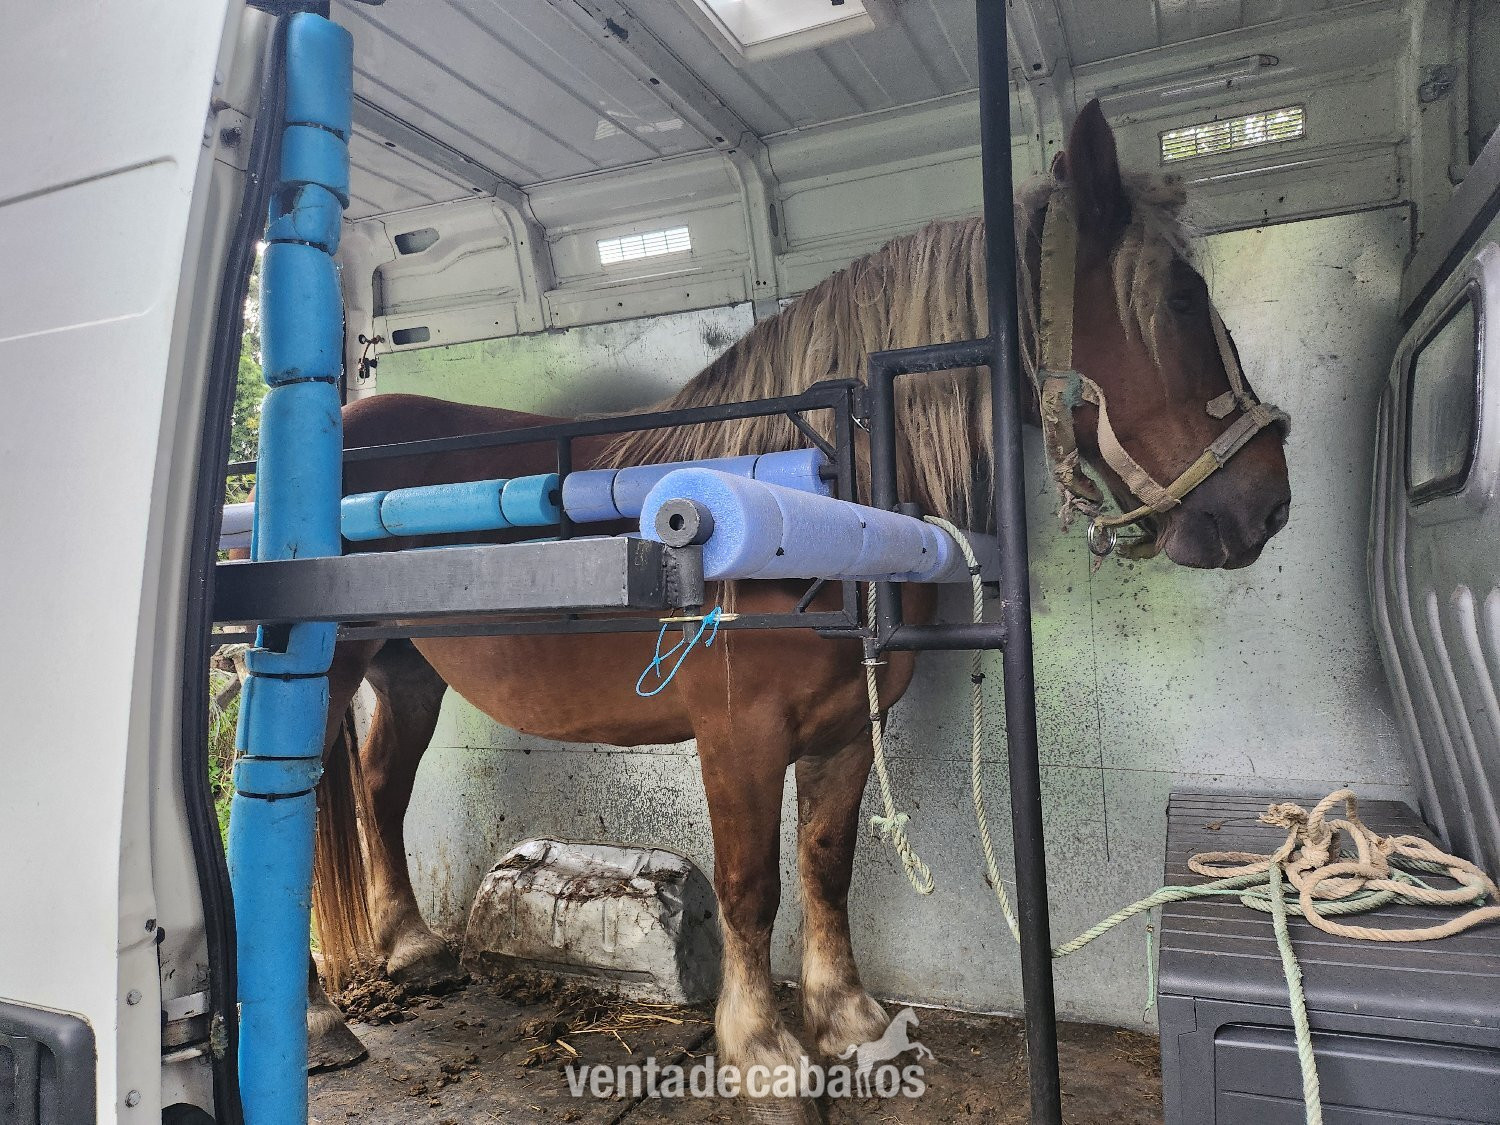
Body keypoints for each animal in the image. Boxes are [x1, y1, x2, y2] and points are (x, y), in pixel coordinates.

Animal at [295, 102, 1291, 1120]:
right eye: (1179, 300)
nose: (1267, 503)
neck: (816, 505)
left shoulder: (848, 727)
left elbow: (826, 861)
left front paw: (847, 1017)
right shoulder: (740, 733)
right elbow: (750, 887)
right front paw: (765, 1052)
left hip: (407, 669)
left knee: (381, 787)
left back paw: (412, 948)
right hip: (321, 672)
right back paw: (321, 1022)